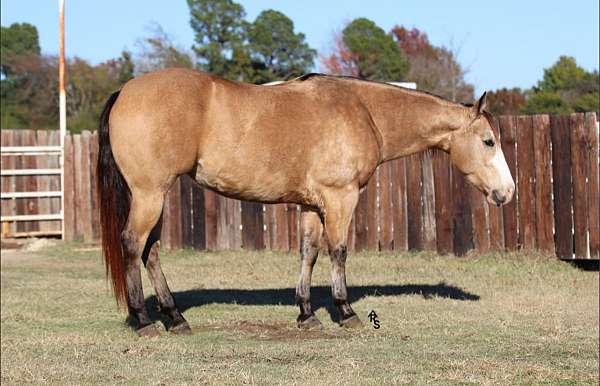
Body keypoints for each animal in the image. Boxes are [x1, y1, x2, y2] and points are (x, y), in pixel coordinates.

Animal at [96, 68, 512, 336]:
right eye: (488, 141)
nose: (507, 193)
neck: (364, 111)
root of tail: (124, 92)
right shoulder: (341, 197)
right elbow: (338, 251)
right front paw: (345, 311)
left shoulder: (312, 205)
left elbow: (308, 253)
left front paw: (306, 313)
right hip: (150, 194)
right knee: (133, 244)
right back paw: (145, 321)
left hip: (156, 196)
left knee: (151, 250)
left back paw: (175, 318)